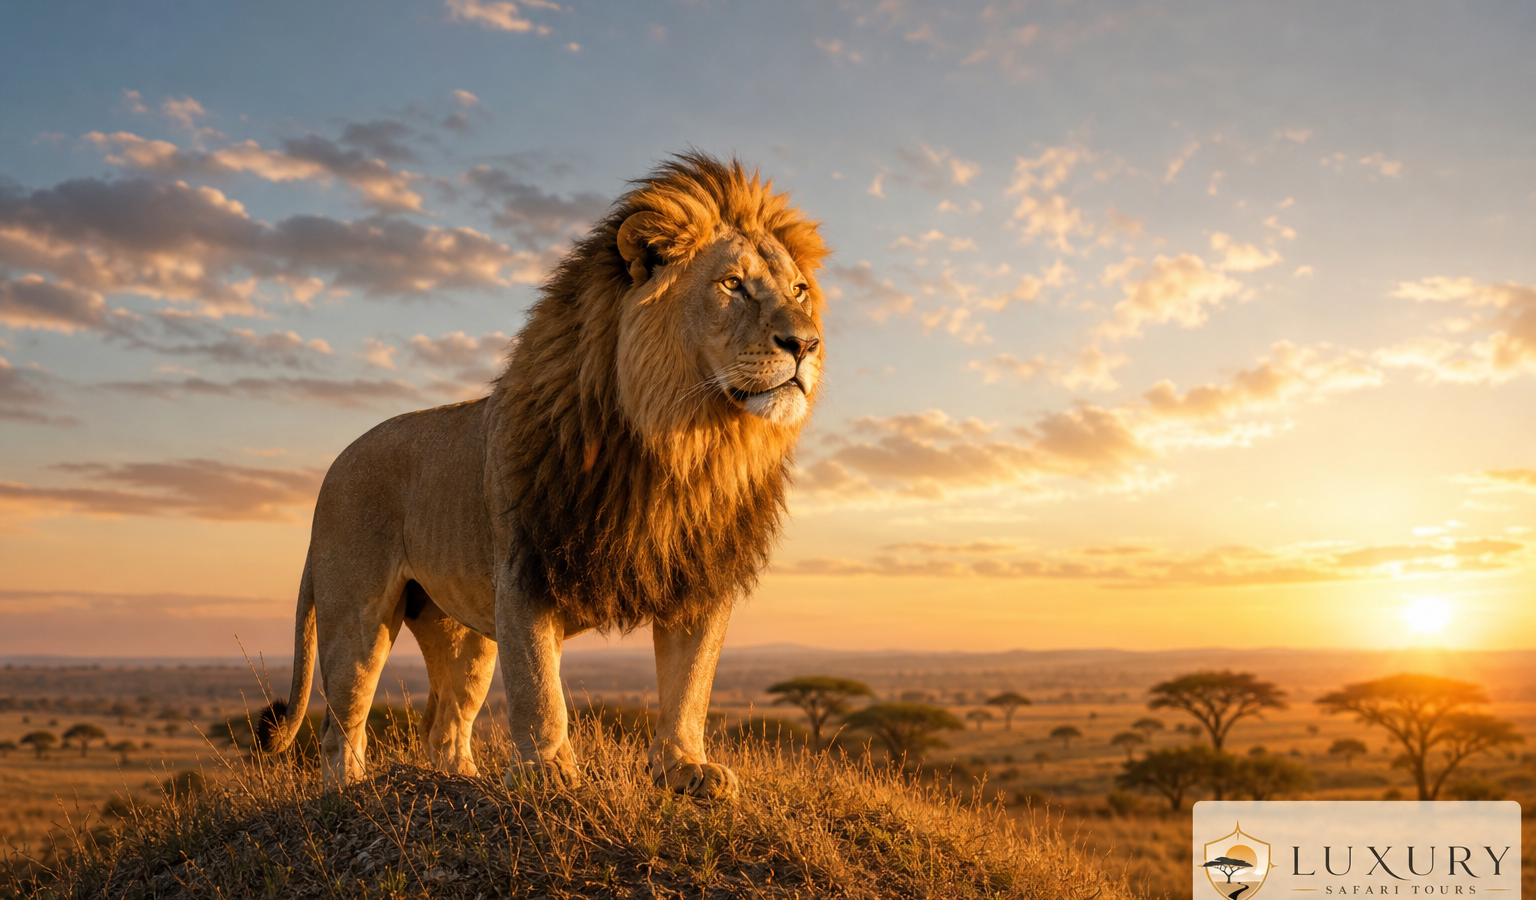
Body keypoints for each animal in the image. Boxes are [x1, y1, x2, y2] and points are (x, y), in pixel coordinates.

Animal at [257, 153, 827, 798]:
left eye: (799, 290)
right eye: (732, 284)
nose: (806, 343)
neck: (683, 445)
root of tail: (336, 463)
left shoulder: (697, 577)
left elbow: (690, 683)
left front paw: (683, 769)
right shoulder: (526, 567)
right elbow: (537, 686)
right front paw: (548, 774)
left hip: (462, 632)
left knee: (444, 724)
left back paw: (461, 779)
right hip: (356, 614)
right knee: (343, 721)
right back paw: (351, 791)